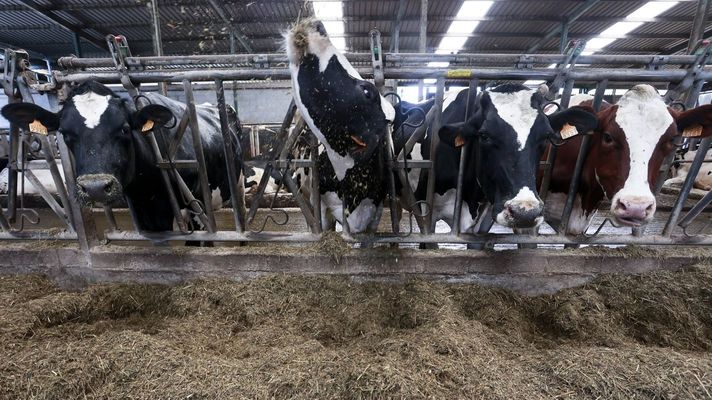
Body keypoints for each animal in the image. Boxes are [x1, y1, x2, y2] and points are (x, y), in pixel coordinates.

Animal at [1, 81, 244, 233]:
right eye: (65, 134)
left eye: (125, 129)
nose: (95, 187)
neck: (149, 190)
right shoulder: (141, 209)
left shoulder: (195, 206)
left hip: (237, 184)